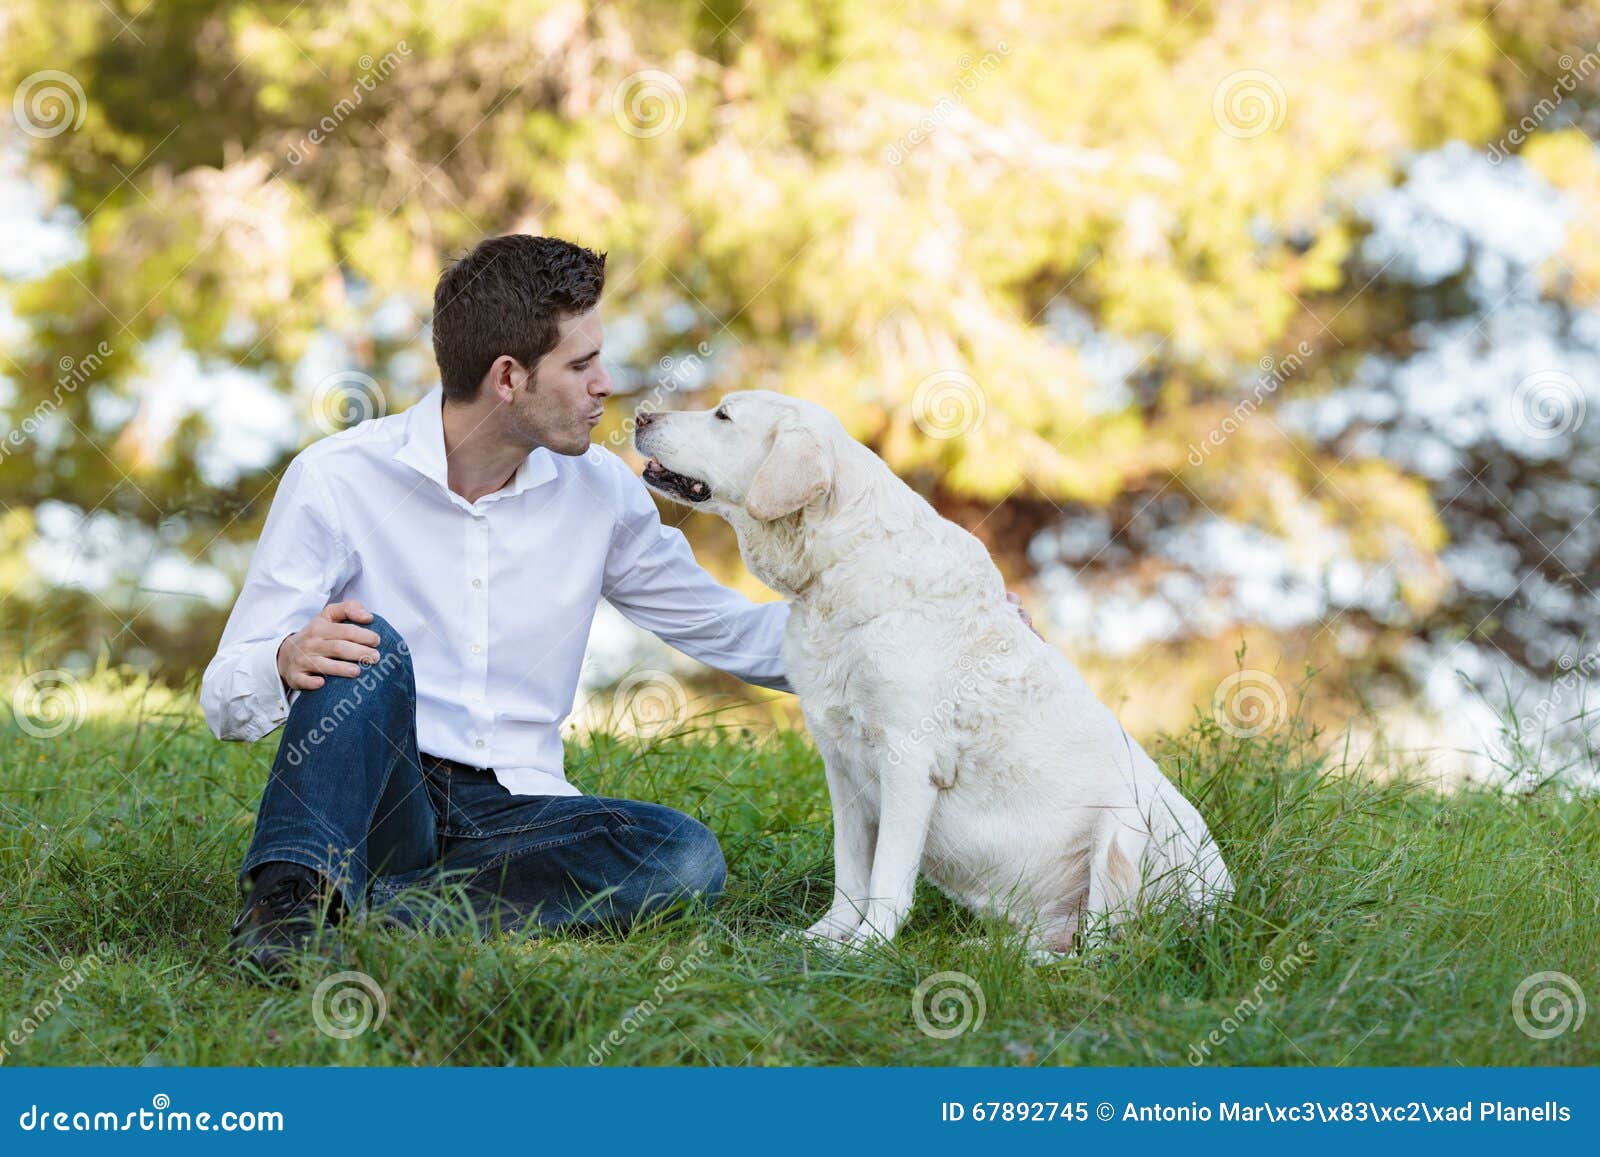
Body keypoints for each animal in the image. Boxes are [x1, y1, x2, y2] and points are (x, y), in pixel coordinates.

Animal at [630, 388, 1228, 947]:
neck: (835, 570)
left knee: (1111, 948)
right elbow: (850, 870)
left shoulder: (907, 758)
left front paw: (865, 949)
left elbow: (887, 878)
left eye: (723, 416)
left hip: (1128, 825)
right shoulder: (839, 762)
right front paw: (822, 940)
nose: (639, 415)